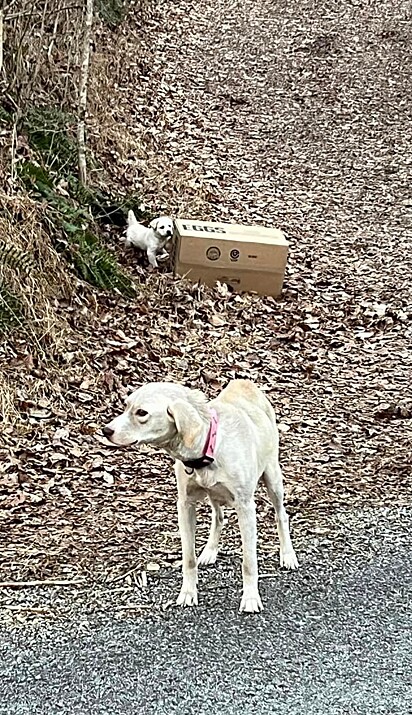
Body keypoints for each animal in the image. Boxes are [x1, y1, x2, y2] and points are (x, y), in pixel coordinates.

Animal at [102, 380, 298, 616]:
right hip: (214, 495)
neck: (209, 445)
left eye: (141, 413)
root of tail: (243, 382)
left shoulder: (245, 508)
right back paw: (210, 551)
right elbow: (188, 558)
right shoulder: (185, 505)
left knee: (281, 515)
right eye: (126, 405)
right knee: (219, 517)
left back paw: (288, 555)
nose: (106, 430)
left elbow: (249, 561)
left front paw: (251, 597)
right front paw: (188, 592)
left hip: (273, 479)